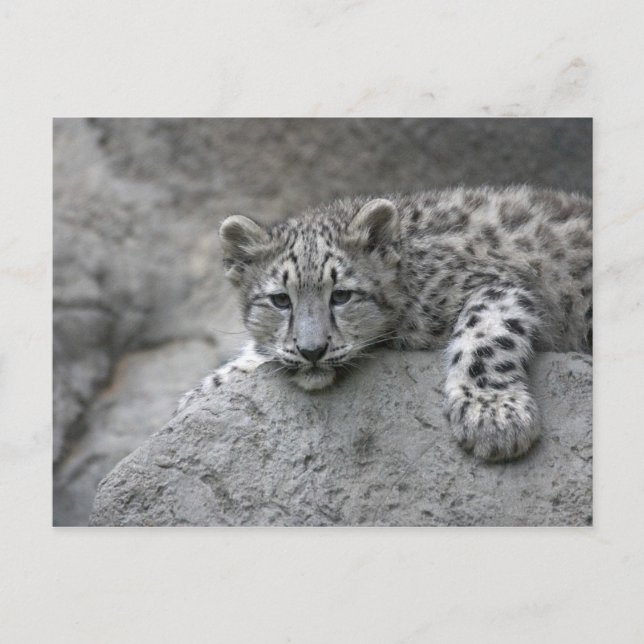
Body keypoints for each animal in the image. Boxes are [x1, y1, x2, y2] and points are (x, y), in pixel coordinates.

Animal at [177, 186, 592, 461]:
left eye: (341, 295)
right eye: (281, 299)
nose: (312, 351)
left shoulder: (499, 285)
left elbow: (485, 335)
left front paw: (494, 418)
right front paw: (196, 397)